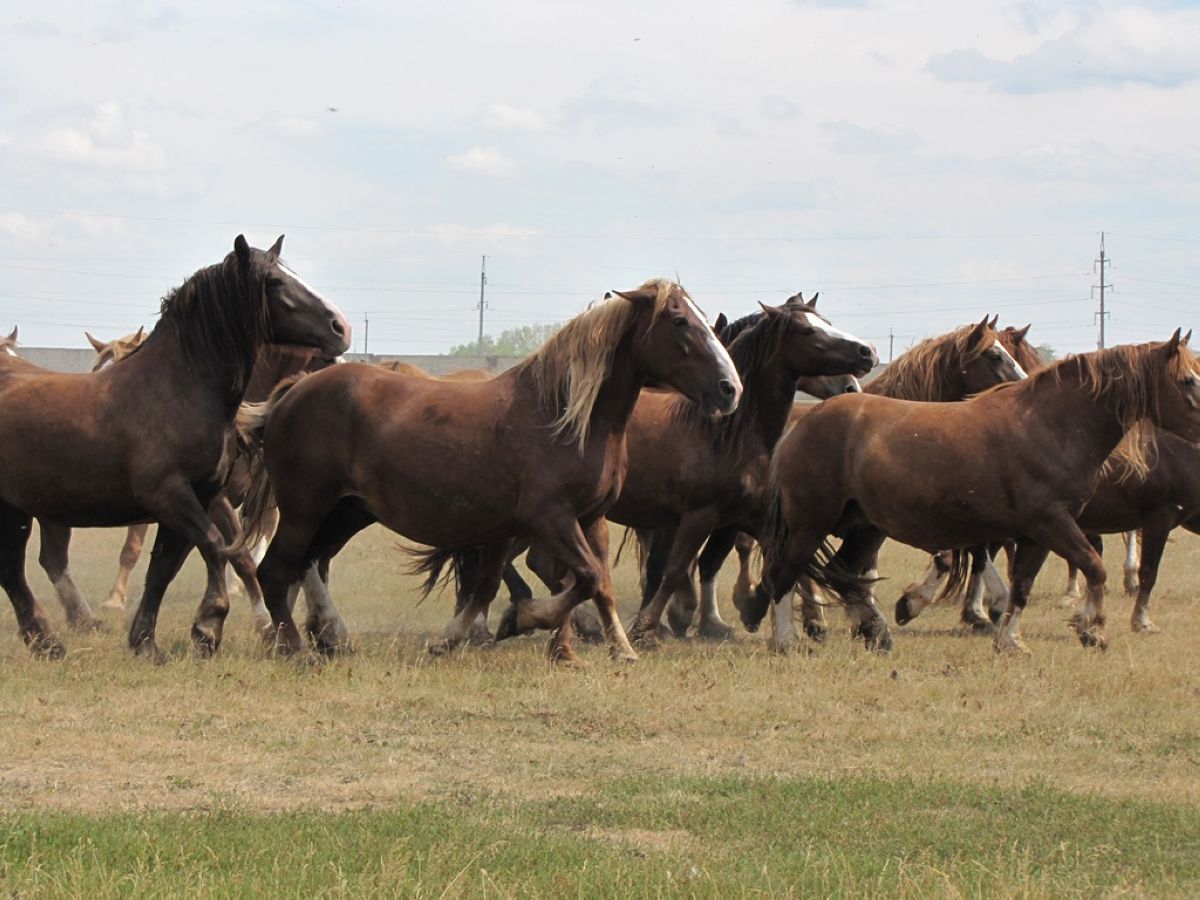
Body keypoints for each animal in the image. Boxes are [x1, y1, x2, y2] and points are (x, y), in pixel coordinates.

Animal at [0, 237, 350, 662]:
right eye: (274, 282)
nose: (341, 327)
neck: (175, 390)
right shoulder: (171, 497)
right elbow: (220, 549)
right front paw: (210, 625)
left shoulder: (196, 498)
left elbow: (163, 570)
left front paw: (145, 642)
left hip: (21, 508)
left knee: (16, 568)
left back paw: (48, 640)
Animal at [242, 278, 739, 667]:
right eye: (679, 321)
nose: (729, 389)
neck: (563, 418)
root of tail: (293, 392)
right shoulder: (551, 519)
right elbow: (583, 578)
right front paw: (525, 619)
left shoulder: (589, 519)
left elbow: (592, 585)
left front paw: (616, 648)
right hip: (305, 509)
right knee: (276, 570)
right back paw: (293, 648)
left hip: (348, 512)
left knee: (308, 563)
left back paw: (329, 637)